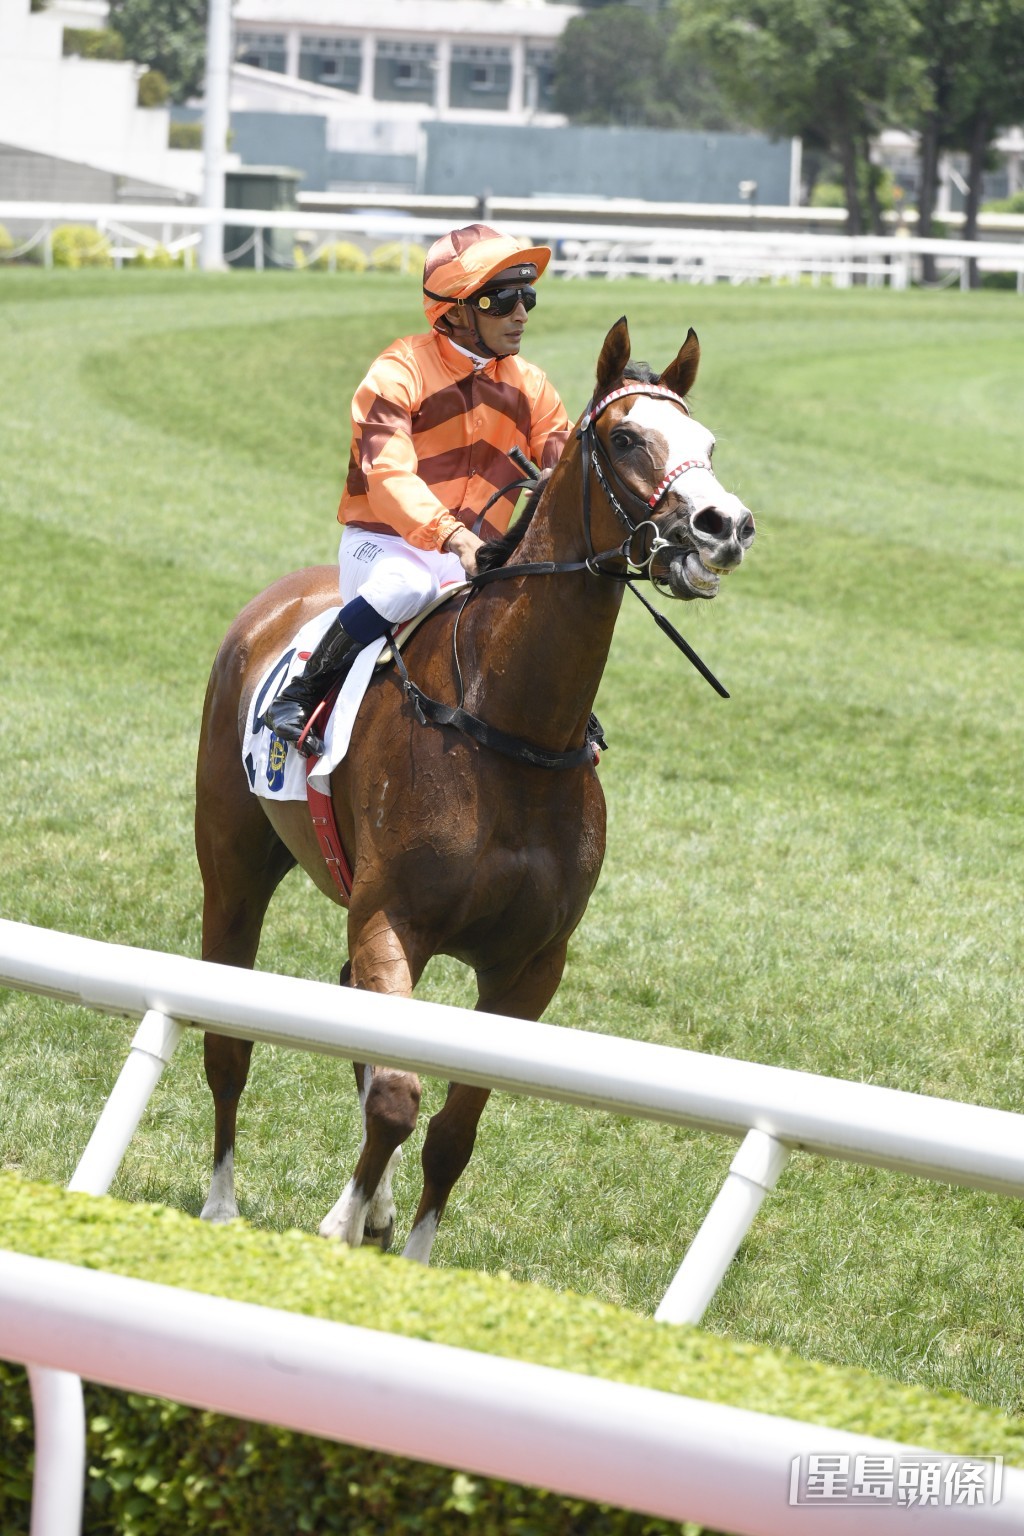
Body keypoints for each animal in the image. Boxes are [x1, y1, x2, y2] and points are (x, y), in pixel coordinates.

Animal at [194, 316, 755, 1264]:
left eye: (708, 442)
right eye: (625, 438)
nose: (726, 525)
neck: (511, 733)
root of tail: (270, 606)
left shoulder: (530, 966)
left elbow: (453, 1130)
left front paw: (410, 1250)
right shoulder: (393, 920)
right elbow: (396, 1096)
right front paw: (342, 1222)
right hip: (233, 869)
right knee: (228, 1041)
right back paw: (222, 1205)